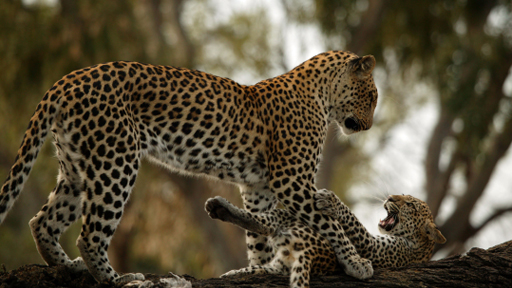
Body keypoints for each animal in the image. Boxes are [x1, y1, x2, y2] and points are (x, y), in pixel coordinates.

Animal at [0, 50, 376, 284]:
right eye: (372, 97)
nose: (370, 126)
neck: (322, 96)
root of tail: (68, 78)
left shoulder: (258, 187)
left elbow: (258, 231)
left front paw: (256, 270)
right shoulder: (292, 181)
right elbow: (328, 221)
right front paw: (355, 262)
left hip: (77, 167)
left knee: (41, 221)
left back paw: (68, 267)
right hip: (116, 160)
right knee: (90, 235)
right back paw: (118, 279)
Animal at [204, 189, 444, 288]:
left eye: (410, 204)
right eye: (401, 195)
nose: (390, 198)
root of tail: (310, 252)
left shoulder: (372, 248)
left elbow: (351, 220)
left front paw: (330, 200)